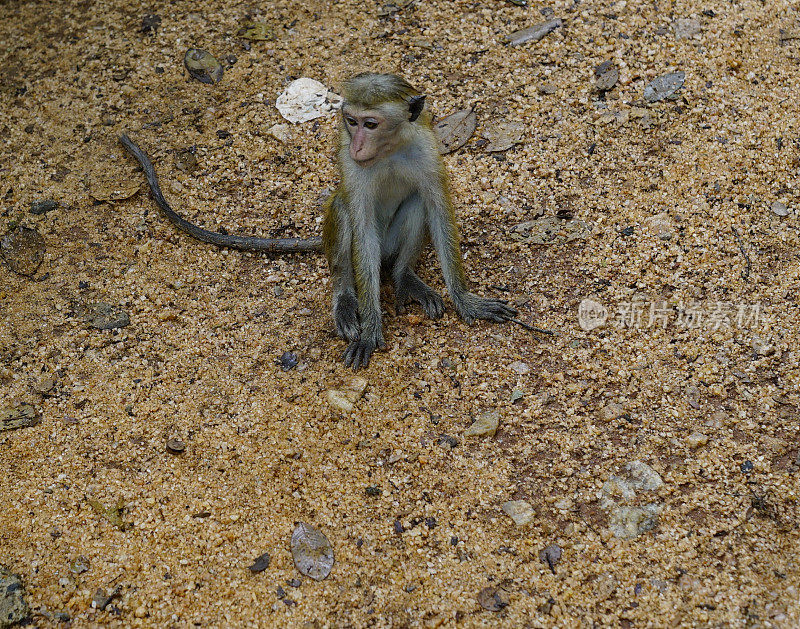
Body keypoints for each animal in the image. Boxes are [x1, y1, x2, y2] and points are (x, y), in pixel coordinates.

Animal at [122, 72, 516, 368]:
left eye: (371, 123)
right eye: (351, 122)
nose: (357, 145)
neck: (388, 150)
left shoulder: (427, 148)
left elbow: (437, 208)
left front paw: (465, 300)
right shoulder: (353, 167)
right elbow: (361, 227)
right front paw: (370, 328)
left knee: (415, 203)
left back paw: (404, 276)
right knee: (344, 215)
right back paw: (345, 297)